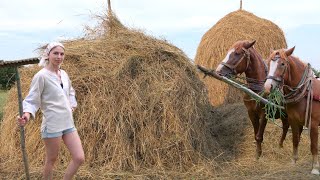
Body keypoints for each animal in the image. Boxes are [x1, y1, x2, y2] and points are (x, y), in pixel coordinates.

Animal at [264, 46, 320, 174]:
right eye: (269, 63)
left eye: (282, 64)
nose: (267, 87)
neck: (305, 93)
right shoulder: (294, 121)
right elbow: (295, 140)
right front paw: (293, 161)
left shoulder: (313, 124)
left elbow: (314, 145)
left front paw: (315, 167)